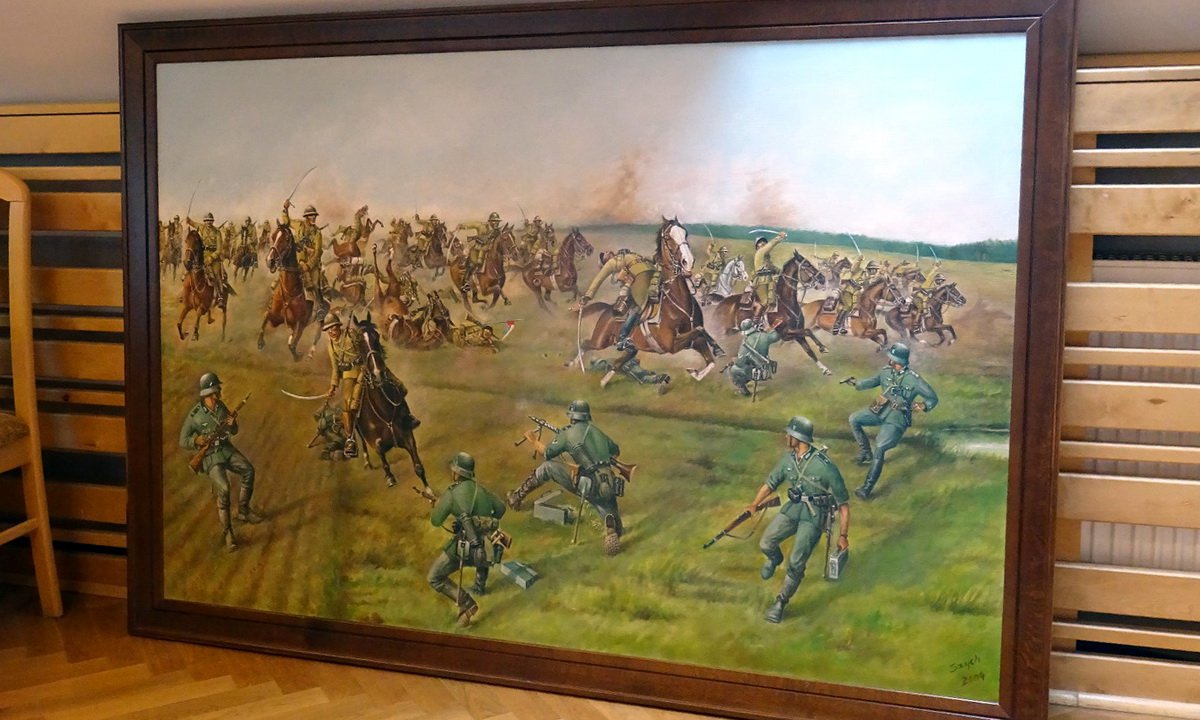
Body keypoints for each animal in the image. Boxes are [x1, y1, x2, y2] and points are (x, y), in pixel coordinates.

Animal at [256, 222, 315, 361]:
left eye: (286, 239)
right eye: (273, 236)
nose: (270, 261)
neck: (290, 291)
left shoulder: (301, 323)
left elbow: (293, 345)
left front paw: (298, 355)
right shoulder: (275, 318)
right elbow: (265, 317)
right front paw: (260, 342)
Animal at [350, 313, 428, 492]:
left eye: (376, 337)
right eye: (358, 340)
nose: (378, 374)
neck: (384, 412)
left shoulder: (407, 435)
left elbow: (419, 467)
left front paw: (430, 493)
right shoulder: (375, 442)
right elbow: (381, 454)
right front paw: (390, 477)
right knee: (361, 440)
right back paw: (367, 462)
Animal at [568, 217, 722, 381]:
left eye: (685, 234)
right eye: (668, 237)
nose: (688, 261)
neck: (678, 302)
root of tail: (608, 309)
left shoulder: (695, 341)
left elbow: (709, 356)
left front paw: (699, 368)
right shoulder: (671, 344)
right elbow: (699, 330)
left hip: (631, 349)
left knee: (618, 362)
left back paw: (603, 381)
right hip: (600, 340)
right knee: (585, 344)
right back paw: (573, 364)